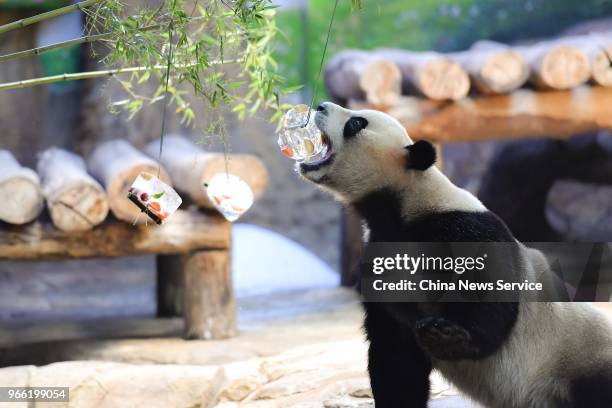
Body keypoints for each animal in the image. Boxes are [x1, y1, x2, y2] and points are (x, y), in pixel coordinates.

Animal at [298, 101, 612, 408]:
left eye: (356, 123)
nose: (321, 106)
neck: (401, 203)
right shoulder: (381, 257)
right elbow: (395, 355)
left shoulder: (461, 226)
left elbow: (493, 296)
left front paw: (448, 337)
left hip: (577, 362)